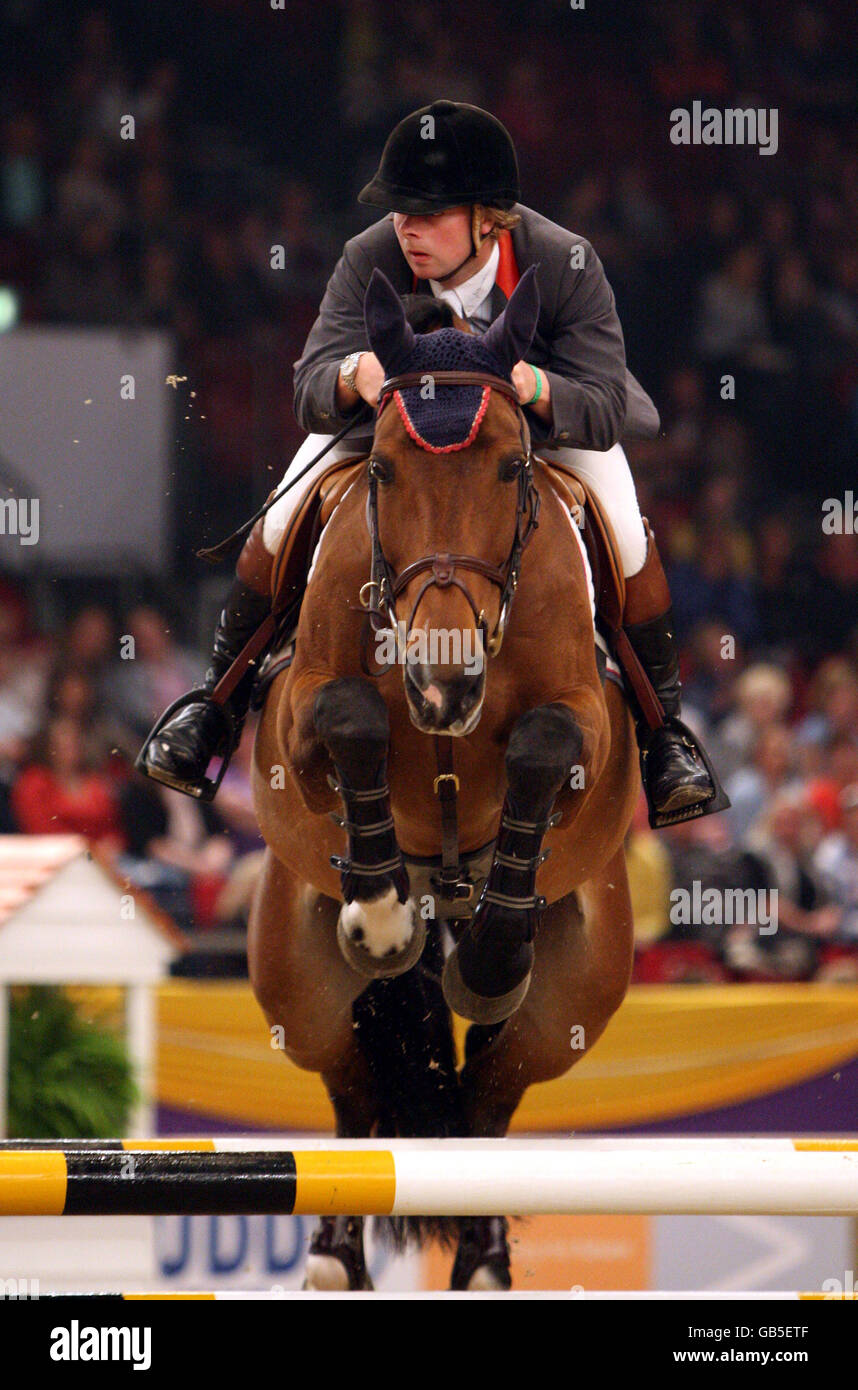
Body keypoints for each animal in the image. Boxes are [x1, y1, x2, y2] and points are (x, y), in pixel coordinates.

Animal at [247, 266, 639, 1290]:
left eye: (509, 468)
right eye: (384, 470)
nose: (442, 683)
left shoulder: (590, 724)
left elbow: (544, 744)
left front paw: (493, 955)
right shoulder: (296, 715)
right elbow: (349, 716)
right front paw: (383, 916)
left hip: (569, 1002)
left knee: (491, 1104)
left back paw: (486, 1255)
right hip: (299, 986)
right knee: (351, 1085)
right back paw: (334, 1254)